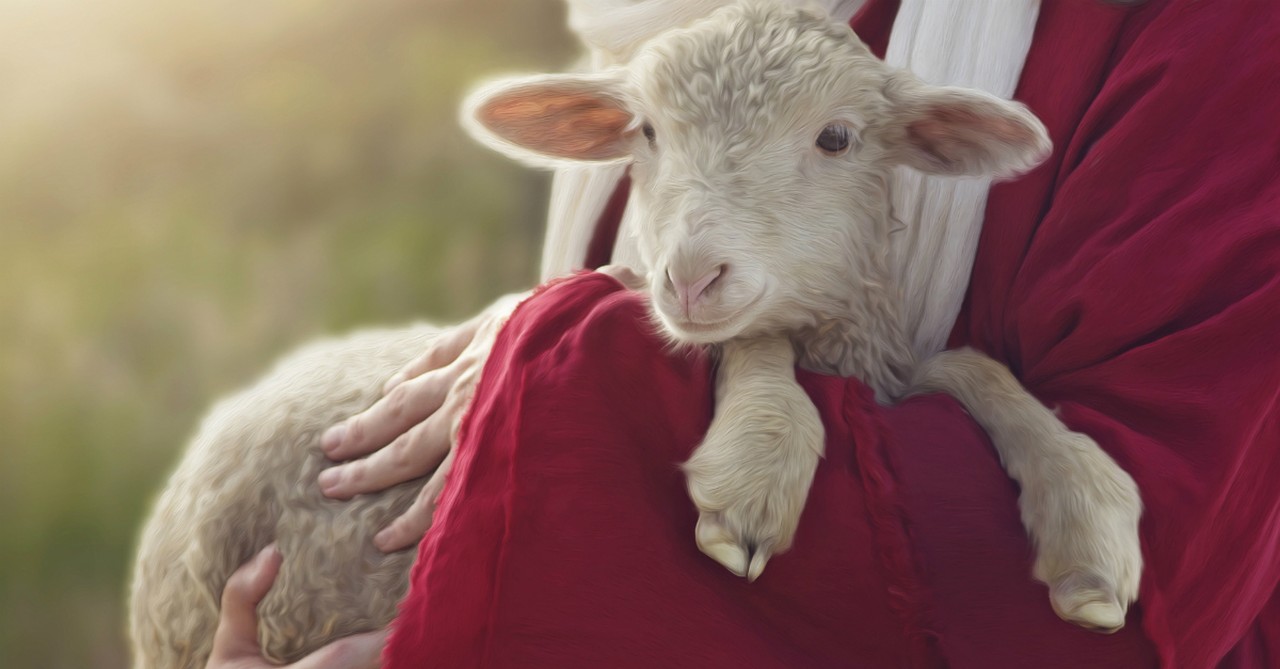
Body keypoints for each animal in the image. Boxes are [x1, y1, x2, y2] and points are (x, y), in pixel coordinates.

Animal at [129, 2, 1146, 665]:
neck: (846, 346)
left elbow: (976, 367)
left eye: (839, 138)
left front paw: (1090, 520)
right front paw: (757, 461)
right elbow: (754, 345)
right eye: (647, 132)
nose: (691, 275)